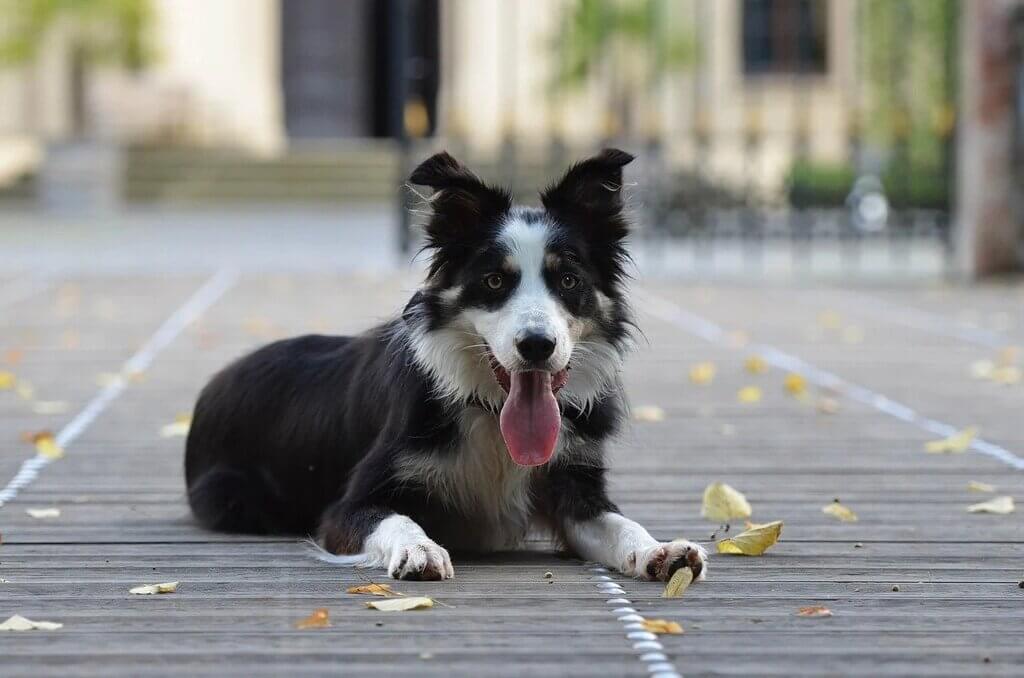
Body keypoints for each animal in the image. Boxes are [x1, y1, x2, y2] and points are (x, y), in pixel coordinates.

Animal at [184, 148, 708, 585]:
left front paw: (660, 549)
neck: (491, 415)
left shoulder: (576, 485)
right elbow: (396, 518)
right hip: (232, 495)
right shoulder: (349, 505)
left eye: (569, 280)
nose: (537, 346)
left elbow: (620, 523)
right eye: (494, 281)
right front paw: (419, 549)